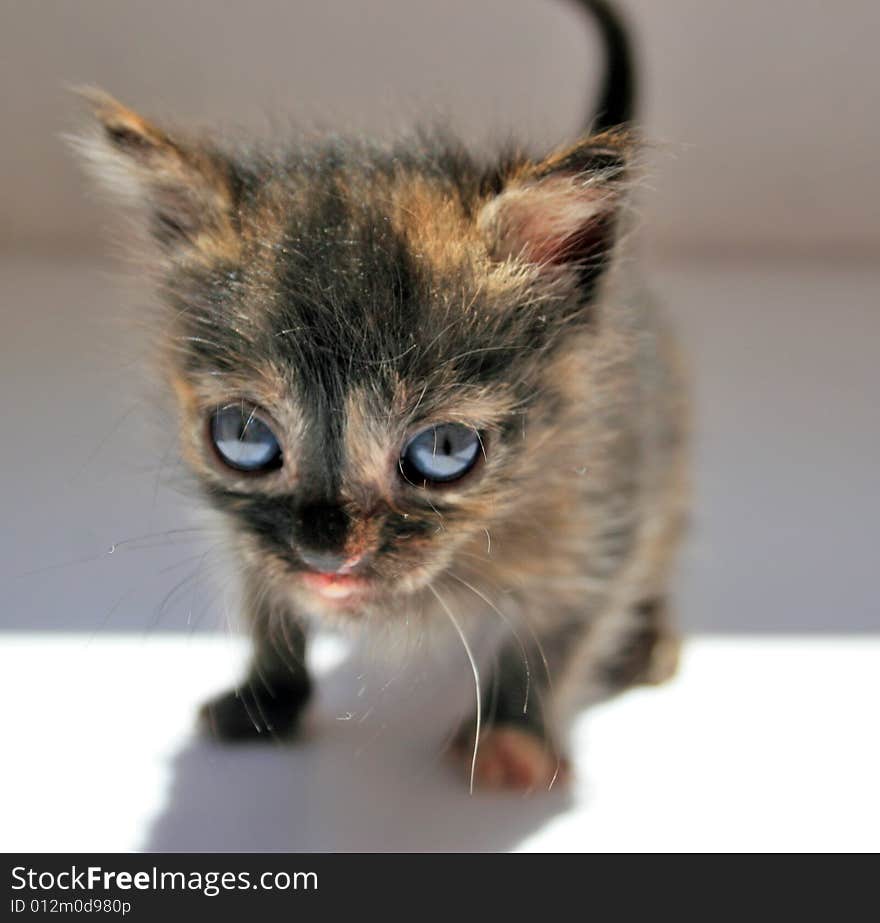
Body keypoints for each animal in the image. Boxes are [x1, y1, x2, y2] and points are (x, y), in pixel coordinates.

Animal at [74, 1, 688, 796]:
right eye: (243, 435)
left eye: (445, 450)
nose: (325, 548)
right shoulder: (247, 534)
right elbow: (265, 601)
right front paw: (268, 696)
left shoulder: (602, 507)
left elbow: (559, 631)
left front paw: (514, 729)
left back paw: (646, 640)